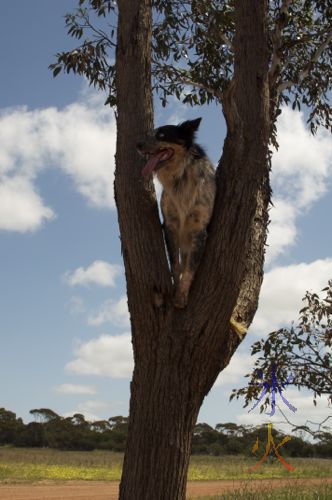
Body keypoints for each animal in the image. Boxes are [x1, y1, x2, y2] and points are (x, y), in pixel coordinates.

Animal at [136, 115, 246, 336]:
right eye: (151, 133)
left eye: (161, 135)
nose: (137, 144)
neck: (180, 177)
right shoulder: (170, 226)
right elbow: (176, 265)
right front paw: (175, 288)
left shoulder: (199, 230)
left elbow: (189, 270)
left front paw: (181, 298)